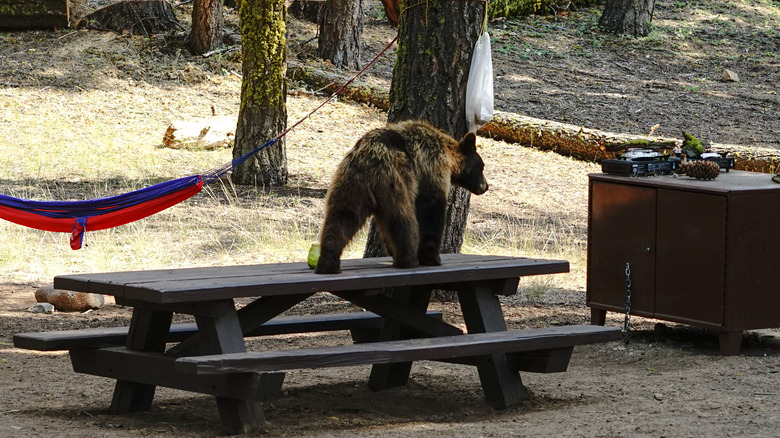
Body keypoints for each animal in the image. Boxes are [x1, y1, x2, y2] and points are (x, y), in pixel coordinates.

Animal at [314, 120, 489, 274]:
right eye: (481, 167)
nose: (485, 186)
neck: (449, 158)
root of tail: (371, 160)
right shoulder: (432, 169)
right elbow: (432, 210)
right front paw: (432, 257)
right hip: (397, 181)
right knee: (402, 219)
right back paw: (408, 259)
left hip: (351, 185)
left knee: (340, 218)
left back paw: (327, 263)